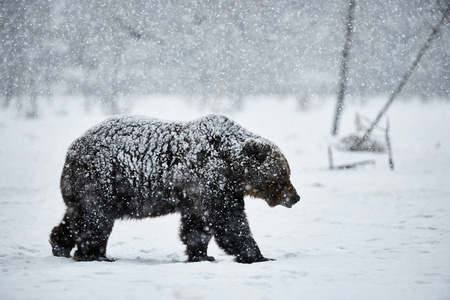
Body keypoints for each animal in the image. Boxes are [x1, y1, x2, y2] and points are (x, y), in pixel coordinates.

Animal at [50, 113, 298, 264]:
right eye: (284, 175)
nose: (295, 197)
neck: (231, 166)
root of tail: (71, 150)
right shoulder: (209, 179)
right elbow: (229, 222)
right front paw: (257, 254)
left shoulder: (200, 192)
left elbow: (197, 226)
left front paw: (201, 255)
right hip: (101, 180)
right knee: (95, 219)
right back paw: (96, 255)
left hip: (86, 188)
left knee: (75, 217)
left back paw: (59, 245)